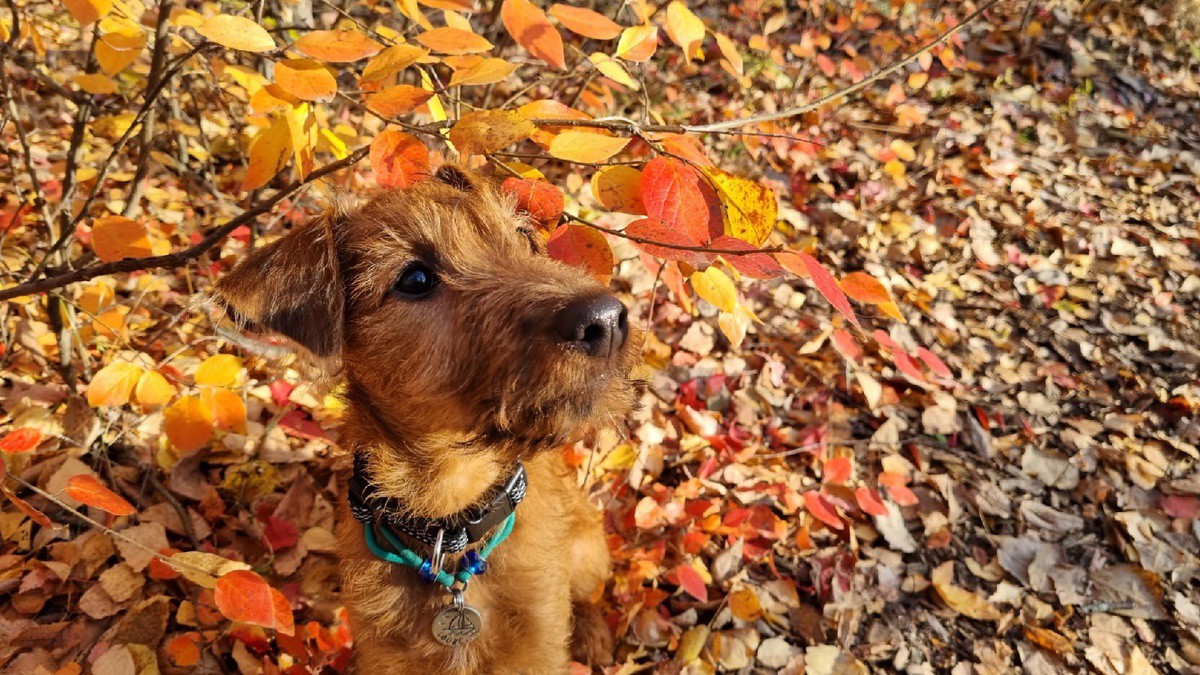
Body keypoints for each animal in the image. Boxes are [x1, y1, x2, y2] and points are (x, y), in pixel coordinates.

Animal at [216, 165, 648, 667]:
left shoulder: (539, 643)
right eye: (415, 279)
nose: (606, 320)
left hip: (585, 549)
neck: (451, 521)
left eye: (523, 238)